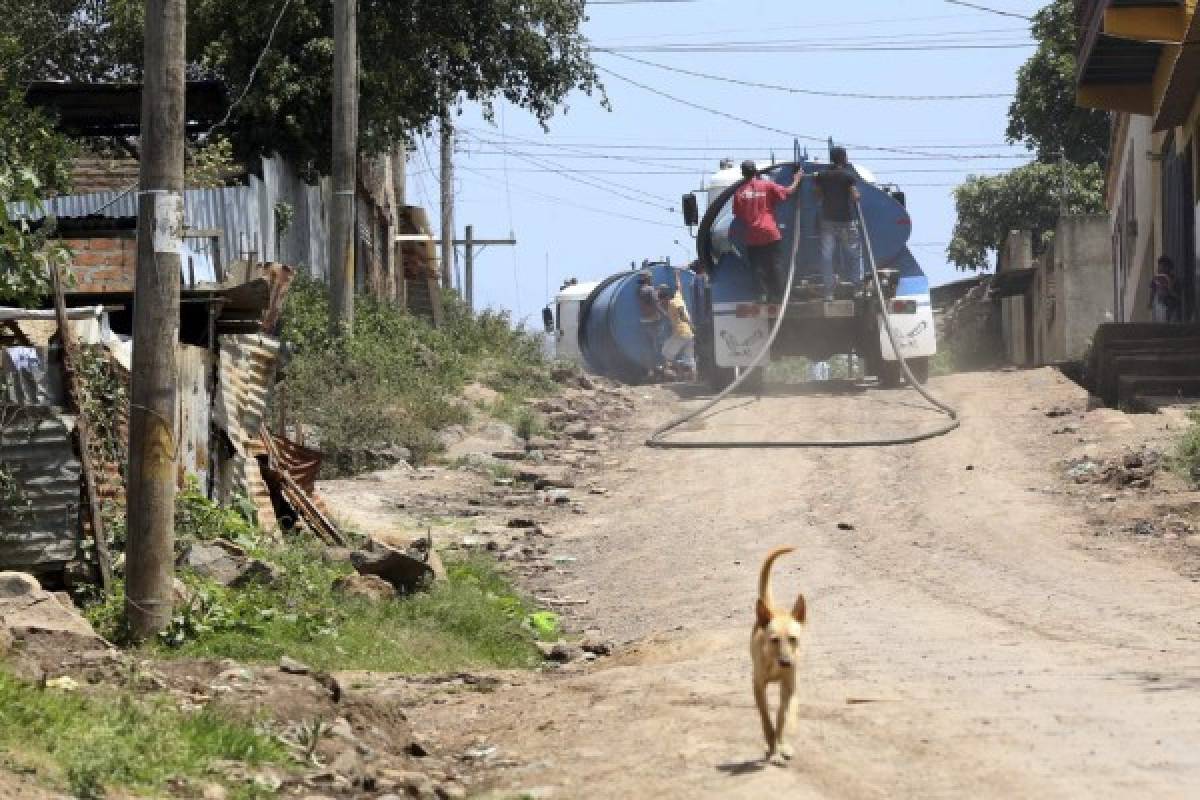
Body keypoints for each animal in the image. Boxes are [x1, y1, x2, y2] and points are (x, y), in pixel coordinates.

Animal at [748, 544, 806, 762]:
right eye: (774, 640)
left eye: (793, 639)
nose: (786, 662)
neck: (774, 662)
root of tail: (771, 608)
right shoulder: (757, 686)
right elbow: (766, 719)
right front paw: (772, 749)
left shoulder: (789, 685)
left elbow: (783, 715)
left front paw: (781, 743)